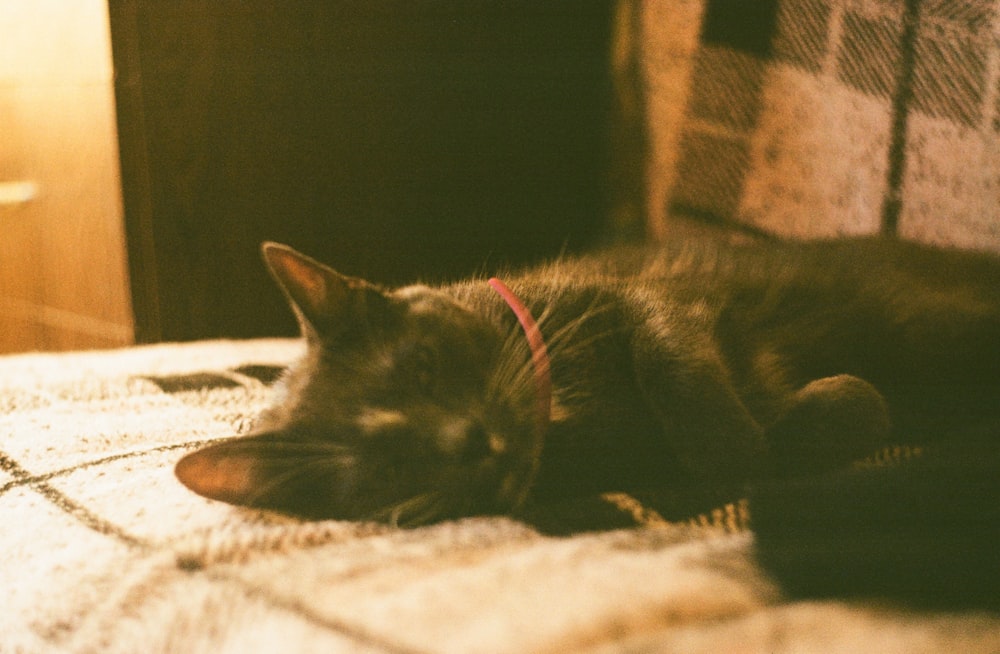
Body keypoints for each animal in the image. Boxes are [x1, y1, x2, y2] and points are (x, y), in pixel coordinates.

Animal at [176, 238, 996, 612]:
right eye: (388, 468)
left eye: (424, 365)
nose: (467, 442)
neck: (567, 423)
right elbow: (817, 427)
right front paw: (817, 415)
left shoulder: (647, 295)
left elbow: (670, 355)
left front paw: (733, 440)